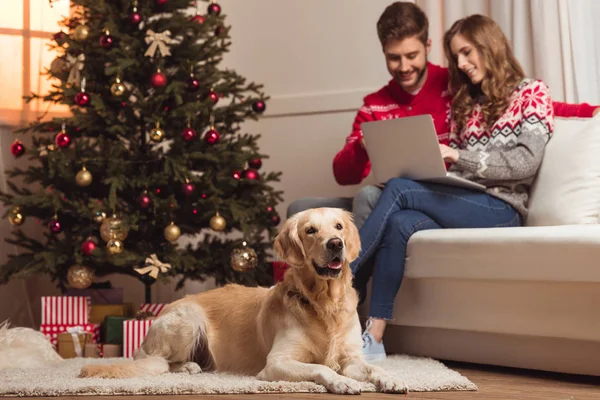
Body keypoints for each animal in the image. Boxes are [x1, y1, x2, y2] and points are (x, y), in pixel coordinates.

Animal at [79, 208, 408, 396]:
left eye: (338, 227)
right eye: (310, 230)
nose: (336, 244)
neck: (322, 302)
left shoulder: (351, 358)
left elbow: (372, 368)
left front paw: (389, 379)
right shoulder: (276, 363)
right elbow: (321, 368)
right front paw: (342, 383)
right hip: (188, 319)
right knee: (160, 362)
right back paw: (188, 367)